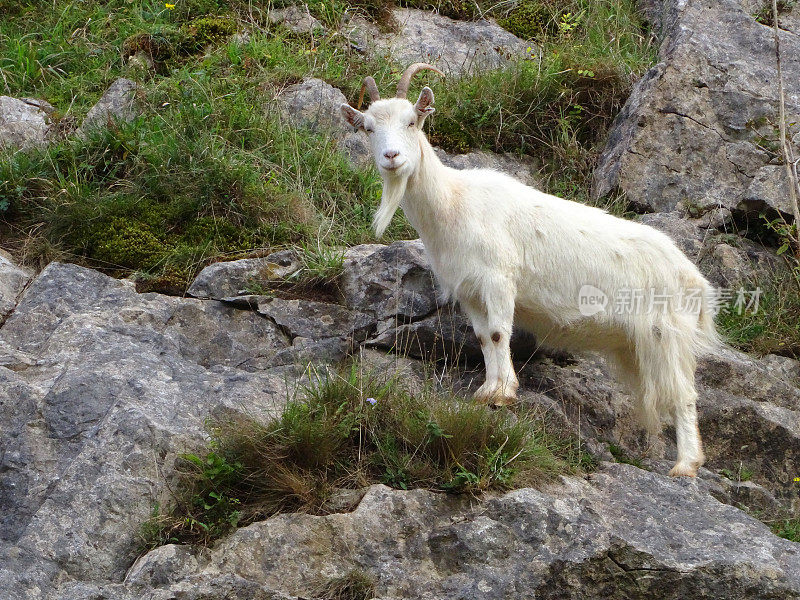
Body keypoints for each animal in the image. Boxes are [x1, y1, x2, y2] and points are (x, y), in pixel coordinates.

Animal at [338, 64, 720, 478]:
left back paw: (686, 464)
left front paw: (504, 392)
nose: (391, 157)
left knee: (684, 394)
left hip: (668, 333)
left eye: (412, 121)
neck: (453, 202)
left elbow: (498, 333)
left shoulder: (499, 279)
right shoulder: (469, 291)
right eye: (369, 128)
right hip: (635, 345)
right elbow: (483, 337)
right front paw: (487, 391)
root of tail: (696, 280)